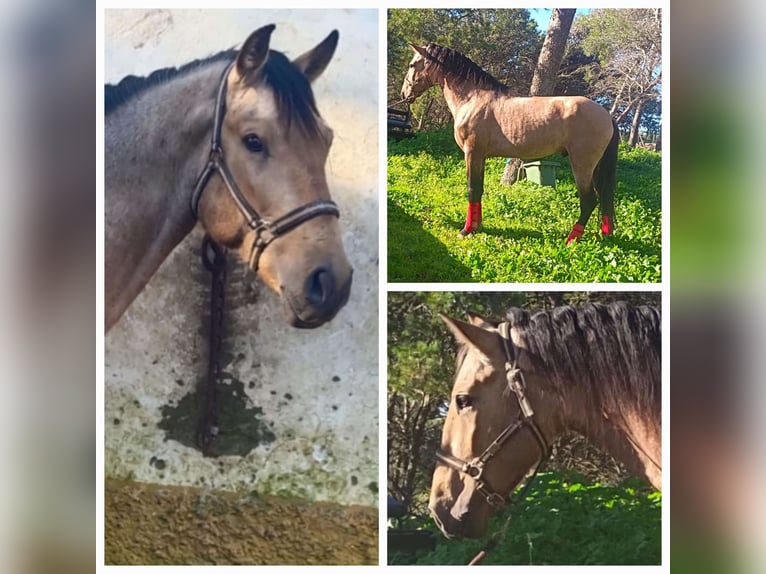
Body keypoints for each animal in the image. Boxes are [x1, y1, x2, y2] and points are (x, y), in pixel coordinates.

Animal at [400, 42, 620, 245]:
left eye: (412, 64)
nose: (404, 95)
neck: (473, 98)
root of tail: (606, 115)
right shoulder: (480, 156)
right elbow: (479, 189)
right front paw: (477, 227)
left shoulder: (472, 153)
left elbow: (472, 189)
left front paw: (466, 230)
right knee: (603, 197)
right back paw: (606, 236)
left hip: (582, 165)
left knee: (589, 200)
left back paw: (571, 240)